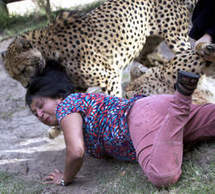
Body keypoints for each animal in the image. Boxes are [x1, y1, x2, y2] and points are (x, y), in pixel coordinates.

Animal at [2, 0, 197, 97]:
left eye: (24, 69)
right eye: (14, 77)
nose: (26, 85)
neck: (48, 50)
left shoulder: (109, 76)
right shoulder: (78, 86)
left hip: (177, 40)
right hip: (143, 50)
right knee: (161, 64)